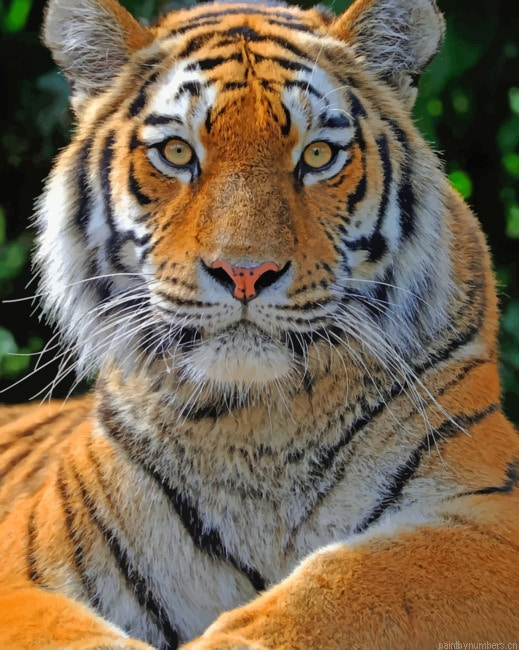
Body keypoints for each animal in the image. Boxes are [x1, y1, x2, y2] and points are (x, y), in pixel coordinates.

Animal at [1, 0, 518, 647]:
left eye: (318, 156)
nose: (245, 272)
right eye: (177, 153)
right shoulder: (22, 572)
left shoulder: (488, 512)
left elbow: (351, 584)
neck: (257, 429)